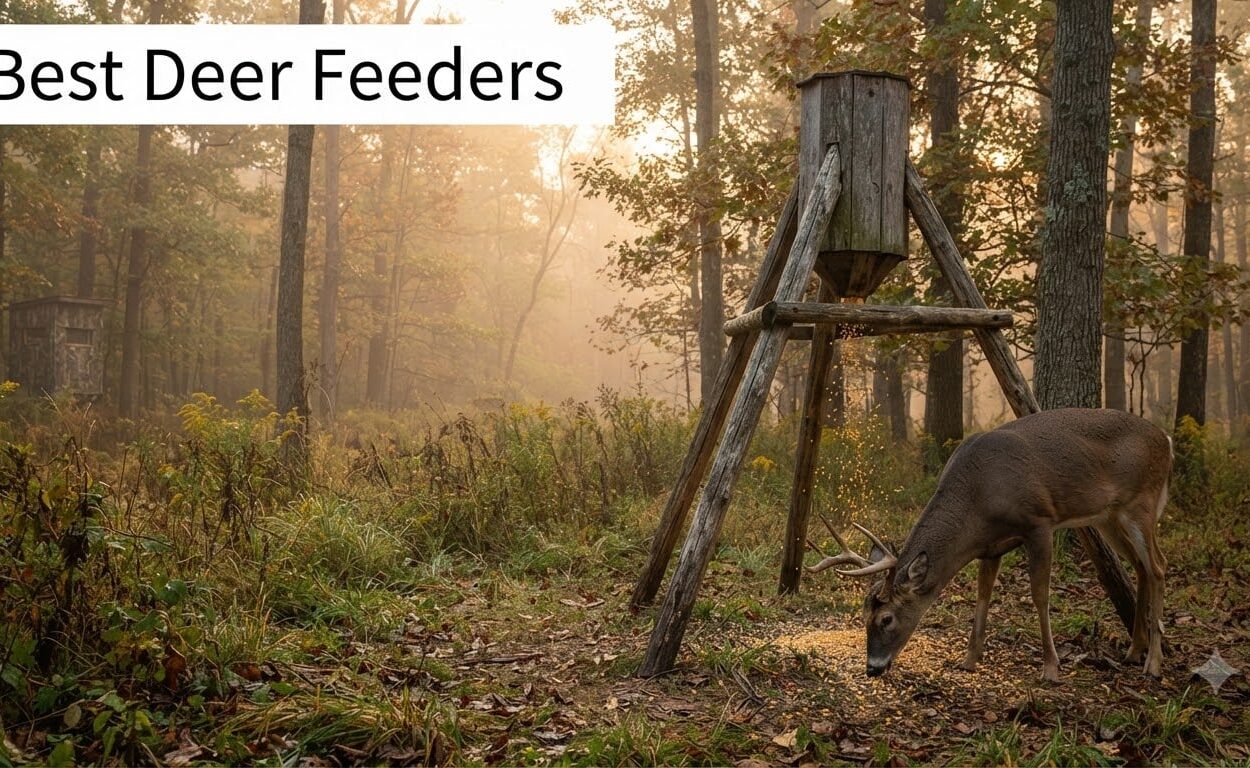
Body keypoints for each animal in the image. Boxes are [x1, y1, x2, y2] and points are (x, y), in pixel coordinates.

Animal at [807, 408, 1172, 682]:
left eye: (886, 619)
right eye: (862, 617)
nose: (872, 668)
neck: (978, 497)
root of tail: (1165, 439)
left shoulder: (1039, 522)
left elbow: (1039, 595)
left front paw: (1051, 668)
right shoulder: (990, 546)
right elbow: (982, 595)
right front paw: (969, 659)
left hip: (1142, 501)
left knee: (1158, 566)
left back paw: (1153, 664)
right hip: (1108, 516)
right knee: (1141, 567)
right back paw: (1134, 651)